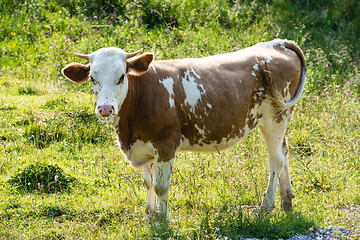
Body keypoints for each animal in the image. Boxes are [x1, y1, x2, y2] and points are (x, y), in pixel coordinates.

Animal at [62, 39, 306, 221]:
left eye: (121, 76)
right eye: (92, 78)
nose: (105, 108)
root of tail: (278, 43)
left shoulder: (166, 144)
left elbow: (160, 186)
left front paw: (163, 221)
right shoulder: (144, 146)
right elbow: (148, 182)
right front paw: (150, 215)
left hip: (275, 117)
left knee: (275, 159)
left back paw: (267, 206)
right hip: (281, 119)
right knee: (284, 152)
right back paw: (287, 201)